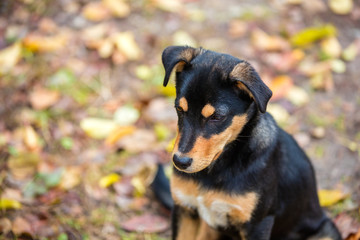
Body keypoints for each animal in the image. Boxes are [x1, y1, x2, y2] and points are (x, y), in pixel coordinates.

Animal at [162, 45, 342, 240]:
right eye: (179, 109)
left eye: (217, 117)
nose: (180, 162)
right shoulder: (185, 209)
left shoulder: (257, 223)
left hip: (326, 231)